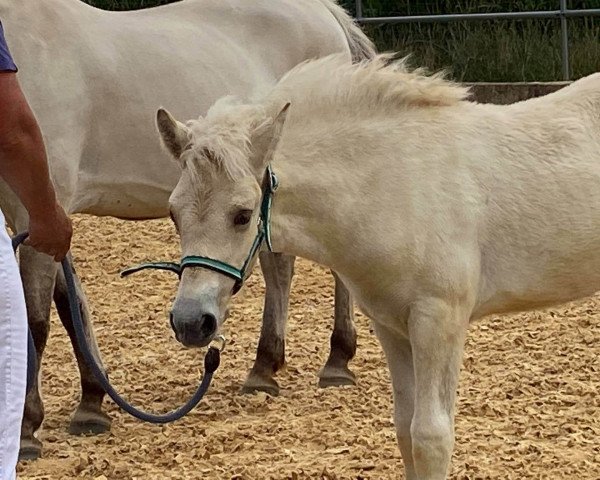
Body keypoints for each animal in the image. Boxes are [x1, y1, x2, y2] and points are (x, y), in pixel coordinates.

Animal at [0, 0, 376, 462]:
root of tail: (325, 14)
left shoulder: (36, 213)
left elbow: (36, 321)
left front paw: (26, 429)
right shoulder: (41, 217)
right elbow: (71, 309)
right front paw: (92, 403)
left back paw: (337, 361)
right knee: (279, 270)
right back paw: (265, 367)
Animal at [156, 54, 600, 478]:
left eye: (243, 215)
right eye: (174, 213)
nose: (191, 322)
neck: (397, 185)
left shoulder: (439, 321)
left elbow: (431, 436)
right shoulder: (392, 325)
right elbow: (405, 428)